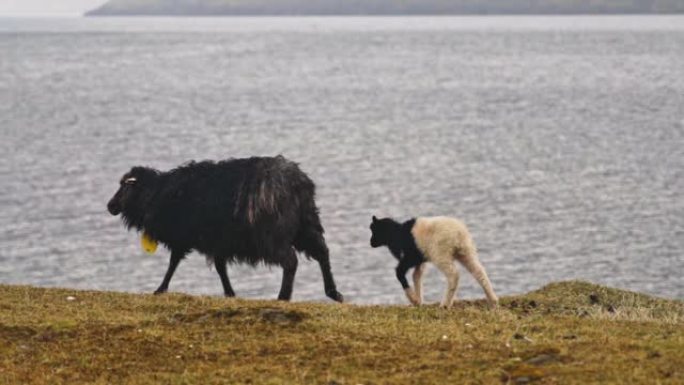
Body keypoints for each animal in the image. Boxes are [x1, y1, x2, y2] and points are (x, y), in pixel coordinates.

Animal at [106, 154, 344, 302]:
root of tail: (298, 182)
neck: (156, 194)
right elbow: (221, 268)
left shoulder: (183, 237)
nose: (110, 206)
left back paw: (283, 297)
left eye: (124, 187)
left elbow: (172, 264)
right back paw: (333, 292)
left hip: (272, 235)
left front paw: (160, 289)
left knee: (291, 261)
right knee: (322, 252)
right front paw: (230, 293)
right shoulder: (218, 241)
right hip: (307, 225)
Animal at [368, 214, 496, 308]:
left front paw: (413, 299)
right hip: (466, 252)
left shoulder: (409, 258)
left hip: (441, 255)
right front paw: (419, 301)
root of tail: (458, 233)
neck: (396, 235)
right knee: (479, 272)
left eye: (374, 230)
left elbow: (399, 273)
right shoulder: (419, 261)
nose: (371, 243)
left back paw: (445, 304)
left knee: (453, 275)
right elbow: (416, 277)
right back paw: (493, 300)